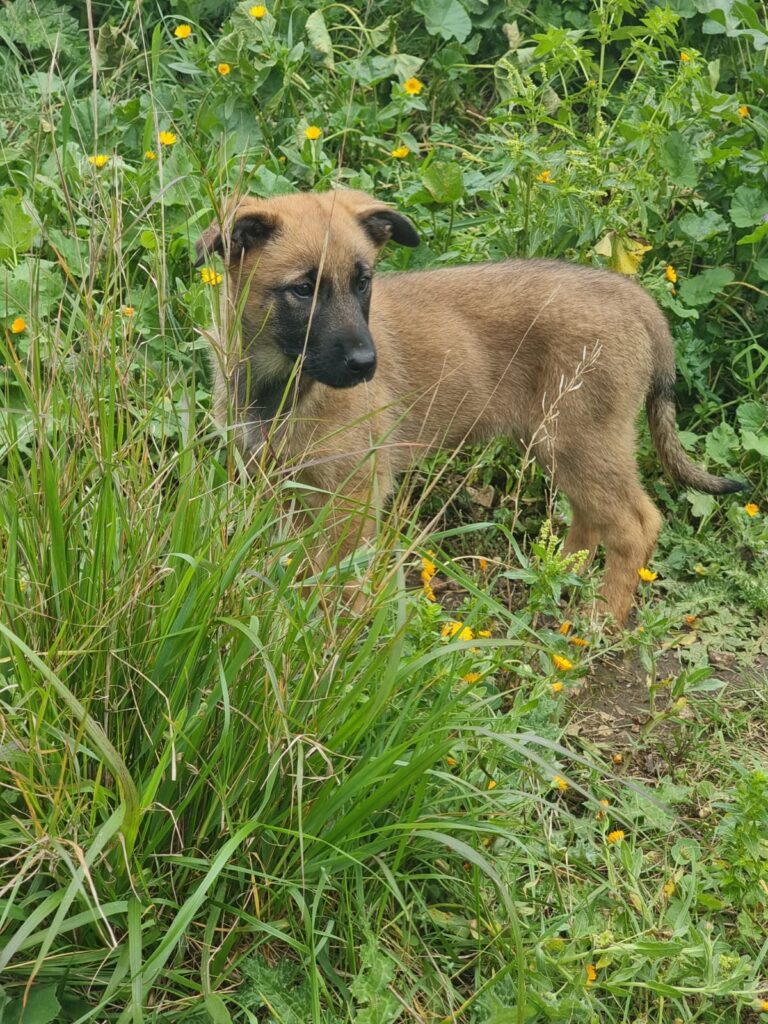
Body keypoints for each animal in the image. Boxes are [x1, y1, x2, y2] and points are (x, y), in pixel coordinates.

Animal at [196, 191, 745, 622]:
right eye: (303, 290)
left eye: (362, 282)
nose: (366, 364)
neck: (280, 382)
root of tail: (636, 298)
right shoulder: (277, 485)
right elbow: (297, 567)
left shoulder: (353, 496)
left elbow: (339, 581)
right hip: (557, 441)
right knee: (590, 517)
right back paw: (551, 581)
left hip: (582, 439)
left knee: (635, 525)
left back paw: (600, 619)